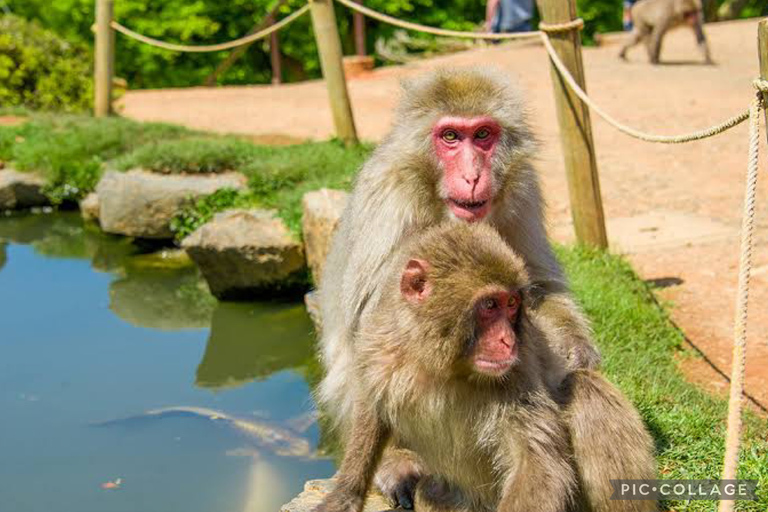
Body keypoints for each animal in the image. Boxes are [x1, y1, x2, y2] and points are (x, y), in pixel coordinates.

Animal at [316, 223, 656, 512]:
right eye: (490, 305)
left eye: (512, 304)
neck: (441, 365)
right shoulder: (377, 346)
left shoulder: (519, 371)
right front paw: (346, 494)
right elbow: (371, 408)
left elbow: (537, 462)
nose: (508, 341)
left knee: (585, 387)